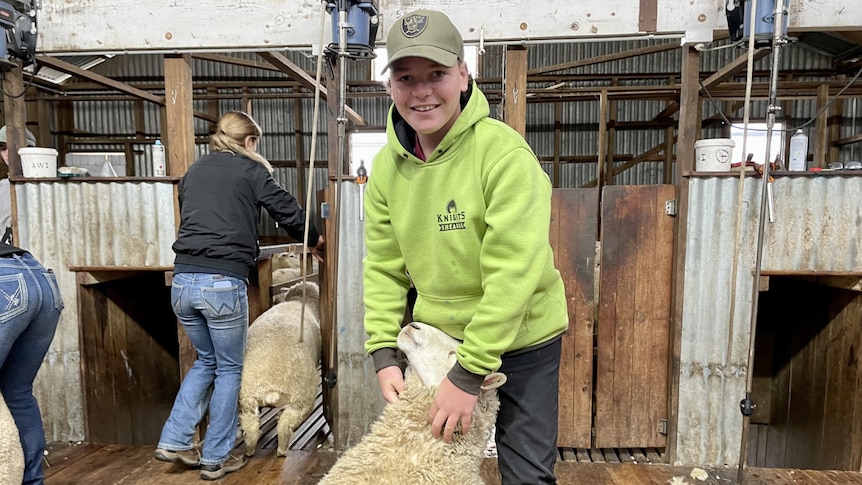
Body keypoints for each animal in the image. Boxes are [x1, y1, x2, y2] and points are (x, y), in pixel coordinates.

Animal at [240, 278, 324, 456]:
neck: (298, 301)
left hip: (247, 400)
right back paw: (282, 450)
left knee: (251, 429)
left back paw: (249, 450)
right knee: (285, 426)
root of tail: (270, 384)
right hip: (301, 402)